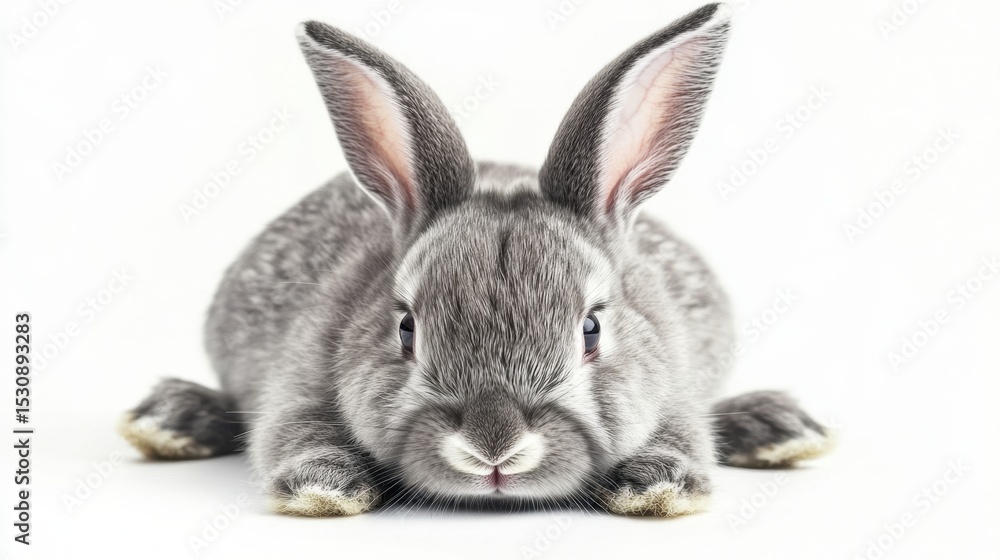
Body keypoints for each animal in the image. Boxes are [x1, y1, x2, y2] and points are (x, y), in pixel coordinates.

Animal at [119, 3, 833, 517]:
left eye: (592, 330)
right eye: (406, 329)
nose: (494, 448)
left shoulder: (675, 391)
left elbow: (680, 434)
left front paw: (659, 486)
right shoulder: (297, 380)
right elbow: (296, 431)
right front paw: (324, 487)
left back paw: (776, 426)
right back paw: (171, 418)